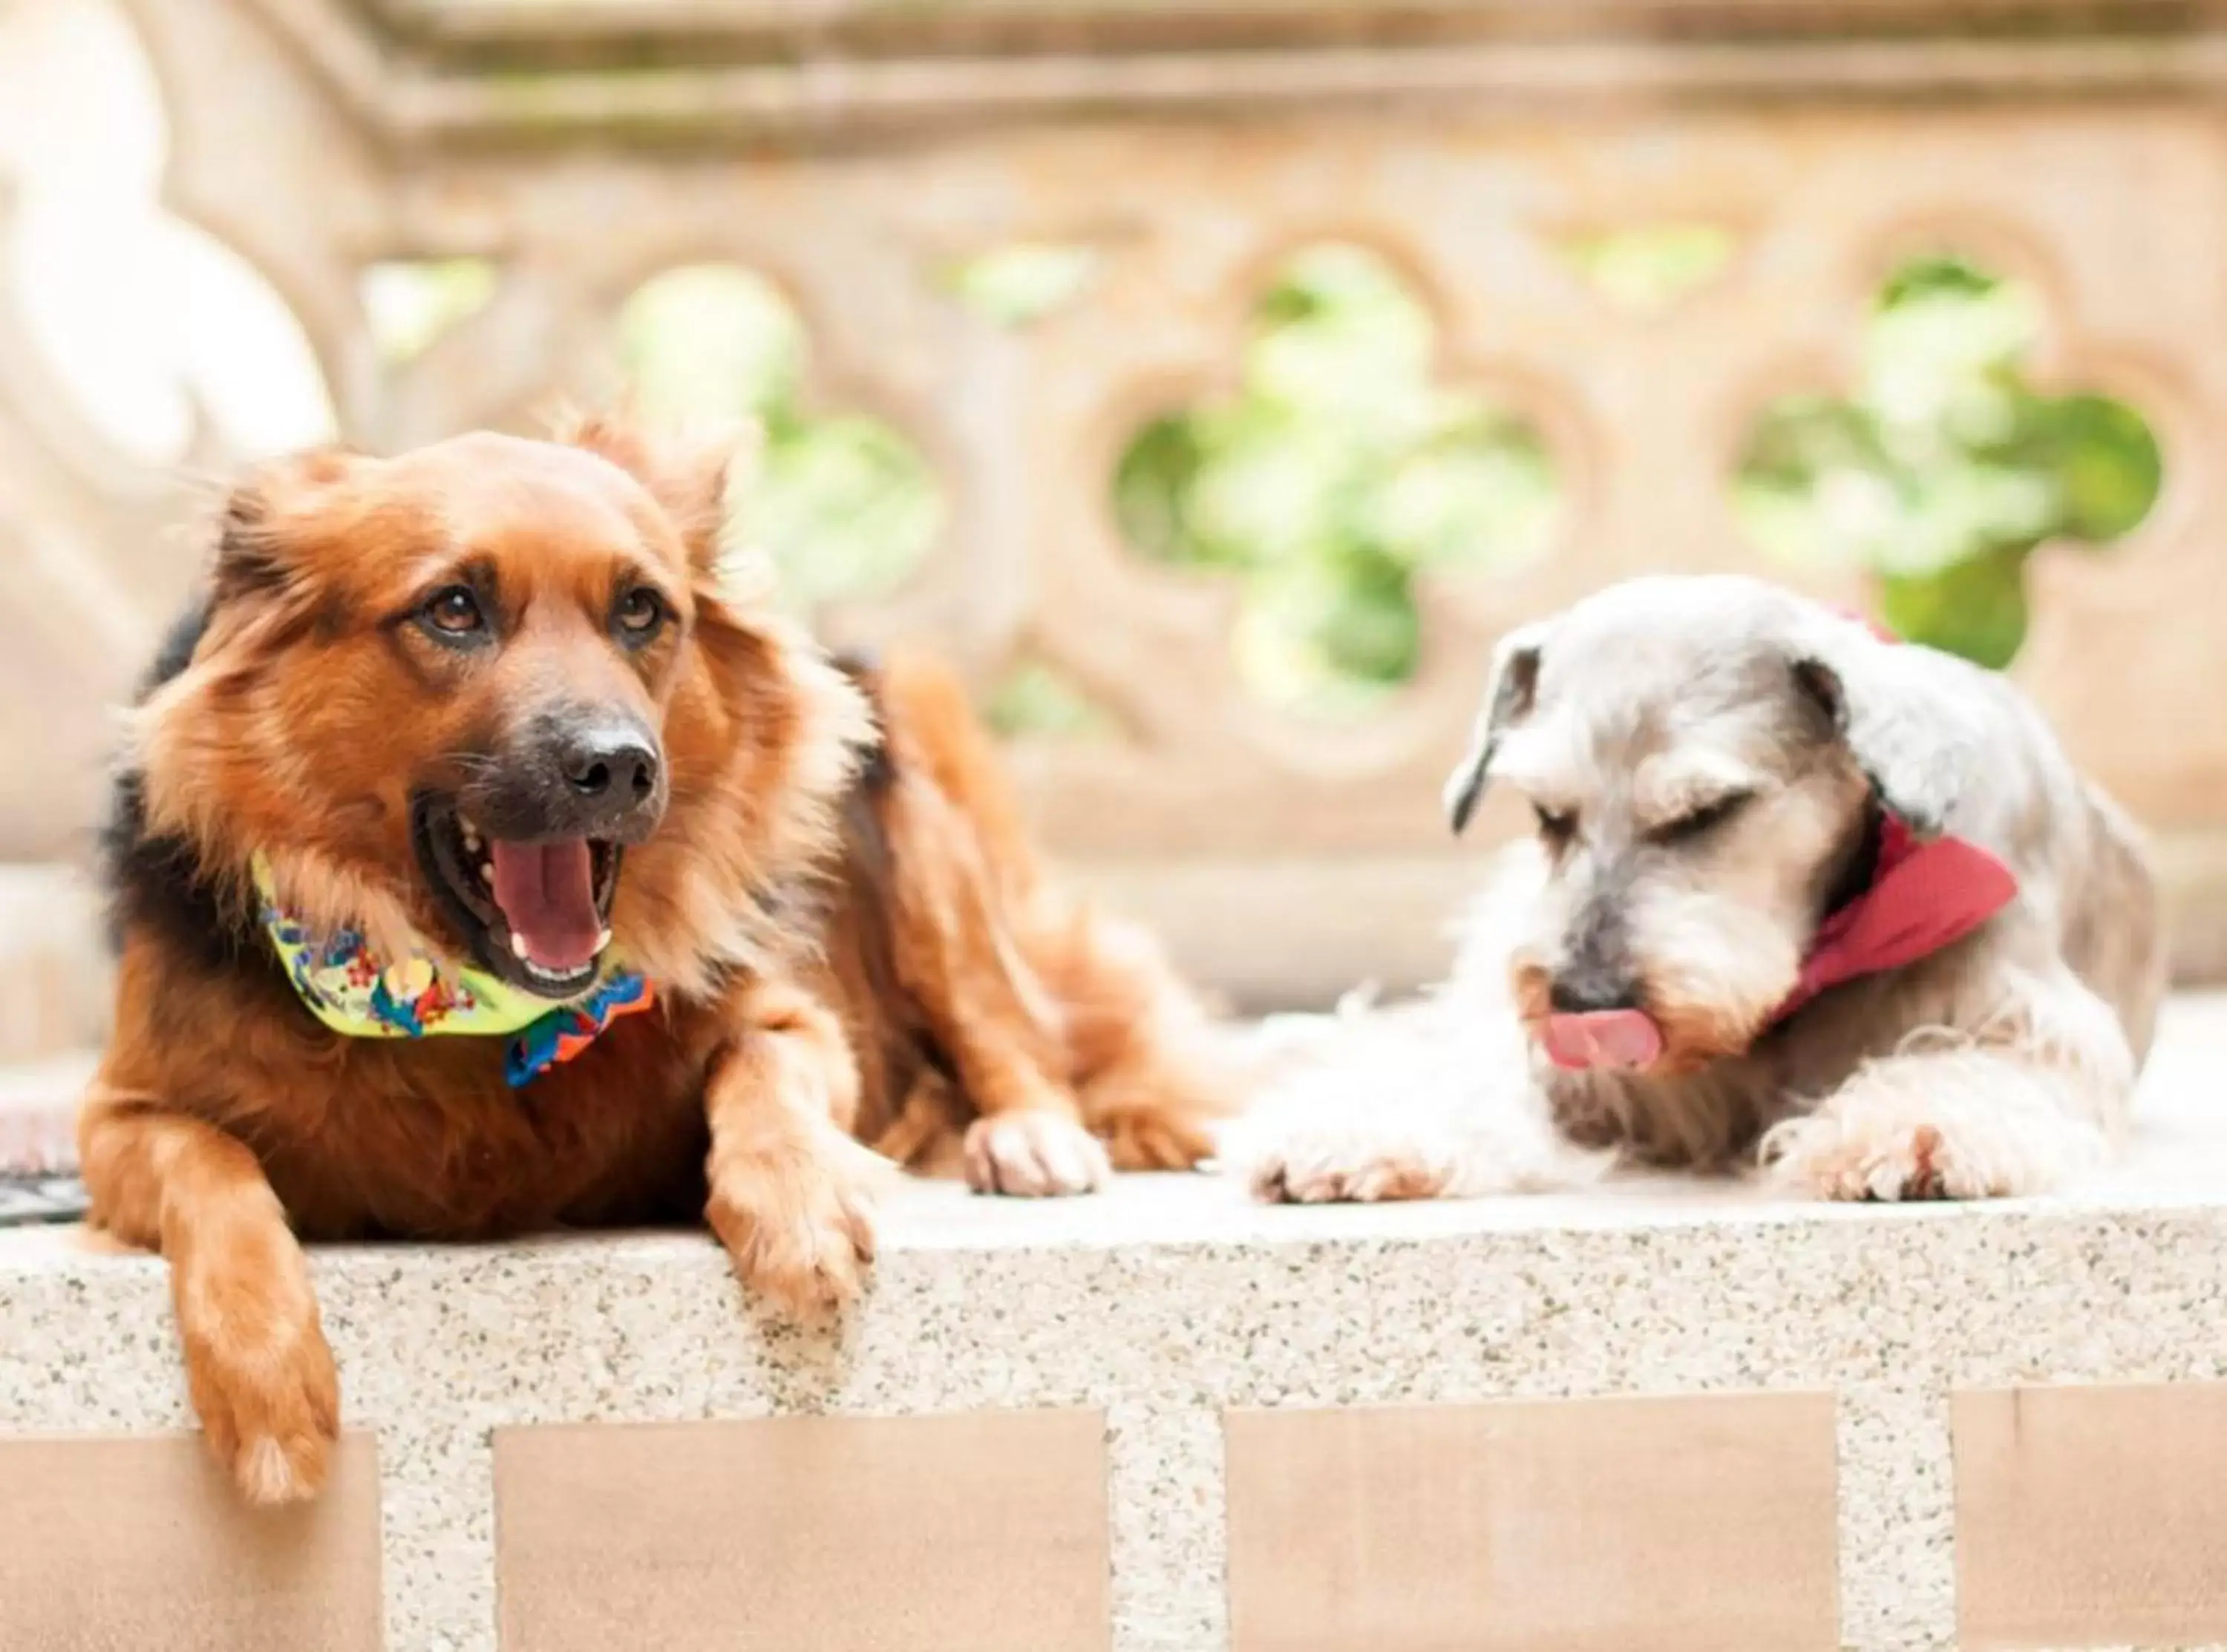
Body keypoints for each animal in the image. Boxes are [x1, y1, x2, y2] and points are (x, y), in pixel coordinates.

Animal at [82, 421, 1238, 1505]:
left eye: (640, 611)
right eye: (453, 608)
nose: (619, 766)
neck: (466, 1007)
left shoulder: (806, 1026)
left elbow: (763, 1068)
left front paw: (800, 1210)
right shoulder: (118, 1119)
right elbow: (210, 1165)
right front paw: (266, 1384)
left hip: (906, 758)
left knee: (999, 1013)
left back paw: (1031, 1135)